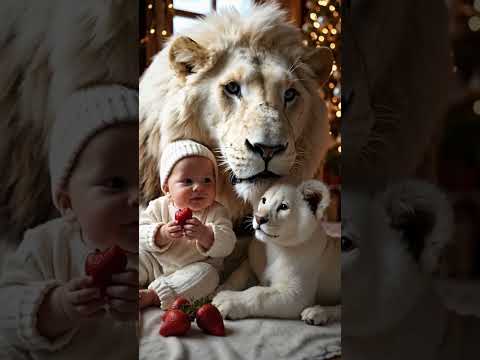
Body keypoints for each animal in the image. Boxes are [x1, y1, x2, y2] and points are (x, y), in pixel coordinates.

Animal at [211, 180, 342, 324]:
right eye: (264, 200)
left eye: (283, 207)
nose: (258, 218)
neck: (274, 248)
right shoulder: (250, 265)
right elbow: (238, 274)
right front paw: (221, 288)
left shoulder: (297, 296)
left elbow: (258, 293)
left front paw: (226, 300)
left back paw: (316, 313)